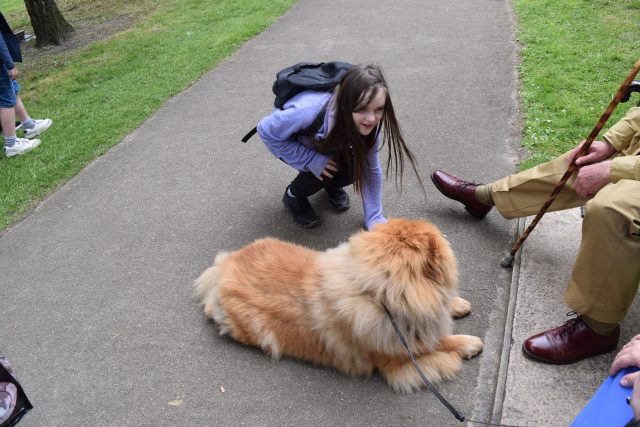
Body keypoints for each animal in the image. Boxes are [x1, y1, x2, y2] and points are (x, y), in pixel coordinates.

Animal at [192, 219, 482, 392]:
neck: (379, 296)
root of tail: (223, 269)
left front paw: (458, 305)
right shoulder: (399, 354)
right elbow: (439, 343)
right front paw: (471, 343)